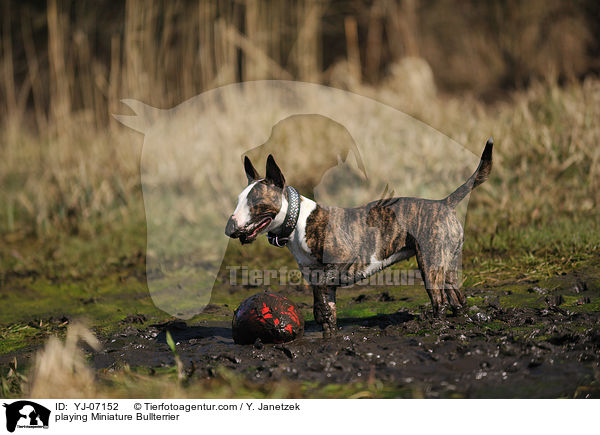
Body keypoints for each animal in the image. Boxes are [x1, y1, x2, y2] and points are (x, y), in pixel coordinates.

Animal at [225, 140, 492, 338]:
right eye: (238, 199)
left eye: (255, 202)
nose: (230, 228)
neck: (299, 219)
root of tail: (444, 203)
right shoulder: (315, 278)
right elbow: (326, 310)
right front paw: (328, 331)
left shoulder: (343, 260)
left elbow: (323, 291)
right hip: (447, 263)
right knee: (456, 298)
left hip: (430, 265)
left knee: (439, 300)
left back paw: (434, 325)